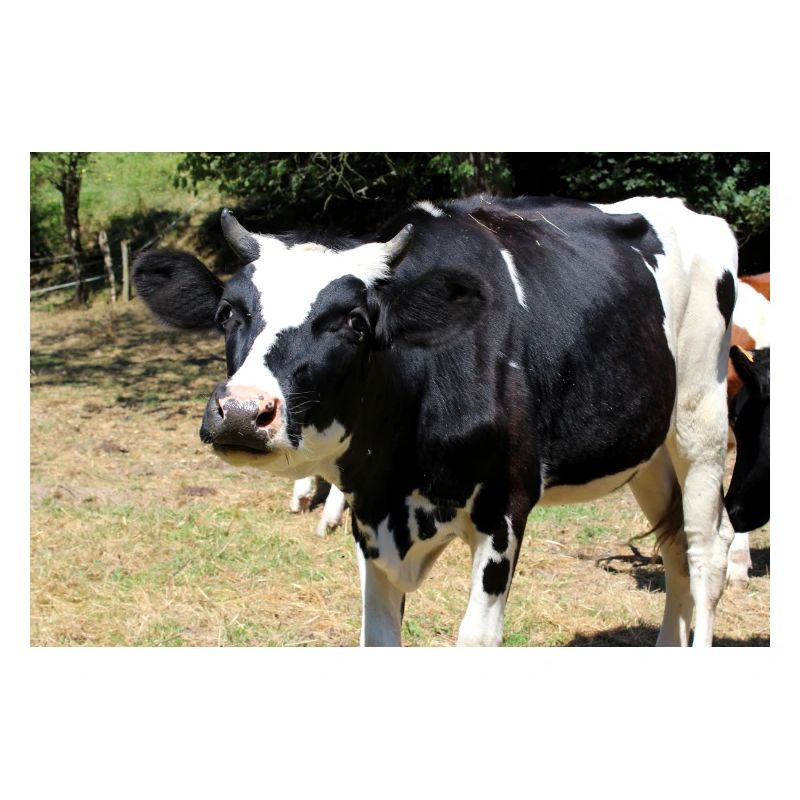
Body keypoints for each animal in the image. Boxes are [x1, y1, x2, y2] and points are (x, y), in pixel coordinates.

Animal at [133, 195, 739, 647]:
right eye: (227, 313)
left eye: (354, 322)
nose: (240, 411)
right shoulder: (370, 516)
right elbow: (377, 636)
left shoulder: (505, 507)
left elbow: (476, 635)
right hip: (649, 452)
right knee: (676, 549)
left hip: (701, 420)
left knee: (706, 553)